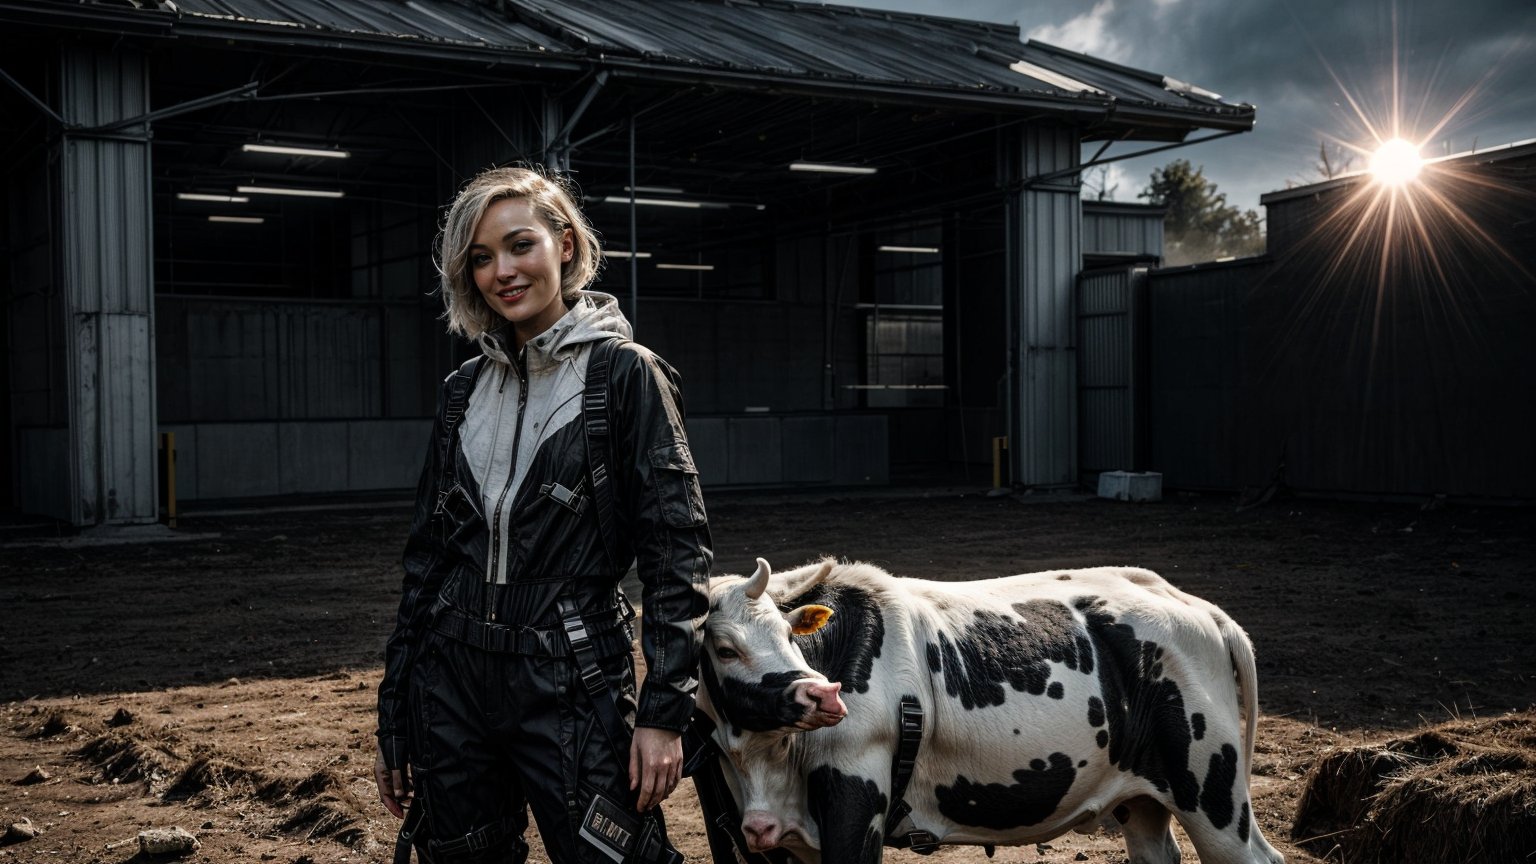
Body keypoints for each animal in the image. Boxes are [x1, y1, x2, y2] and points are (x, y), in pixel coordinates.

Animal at [697, 553, 1284, 860]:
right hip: (1142, 801)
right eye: (724, 648)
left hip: (1213, 794)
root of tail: (1193, 605)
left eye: (787, 635)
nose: (823, 693)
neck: (767, 769)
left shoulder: (854, 805)